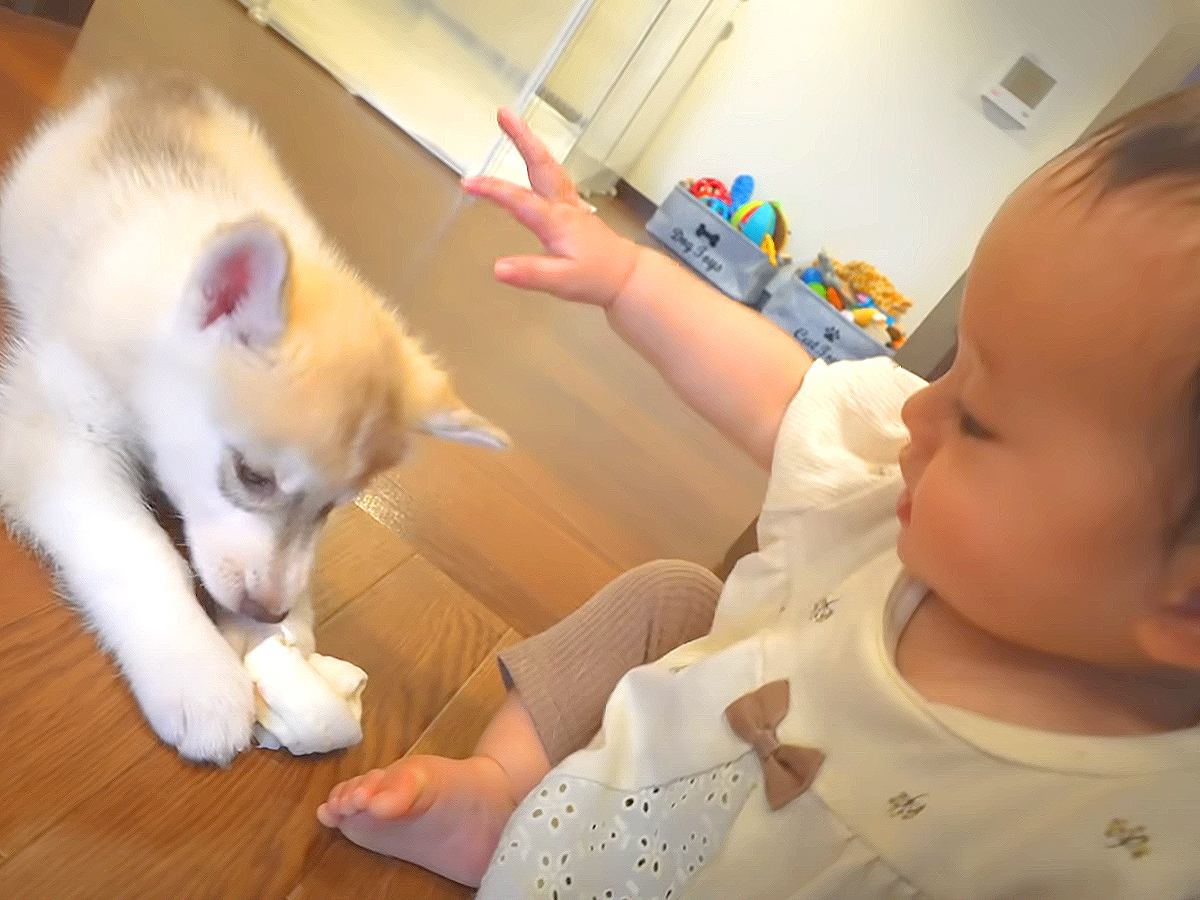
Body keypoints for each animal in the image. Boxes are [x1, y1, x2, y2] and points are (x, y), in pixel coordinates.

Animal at [0, 77, 506, 763]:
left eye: (332, 509)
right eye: (252, 476)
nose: (268, 614)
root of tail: (163, 85)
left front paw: (282, 642)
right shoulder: (58, 430)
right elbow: (138, 549)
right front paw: (195, 670)